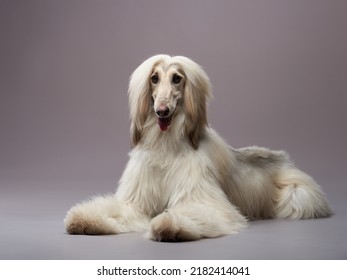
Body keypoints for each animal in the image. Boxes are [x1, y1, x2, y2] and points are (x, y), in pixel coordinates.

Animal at [64, 54, 334, 241]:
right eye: (154, 78)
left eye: (177, 78)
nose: (162, 111)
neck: (167, 144)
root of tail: (281, 155)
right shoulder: (137, 202)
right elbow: (116, 209)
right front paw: (83, 220)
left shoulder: (202, 197)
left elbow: (195, 211)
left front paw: (168, 225)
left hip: (298, 193)